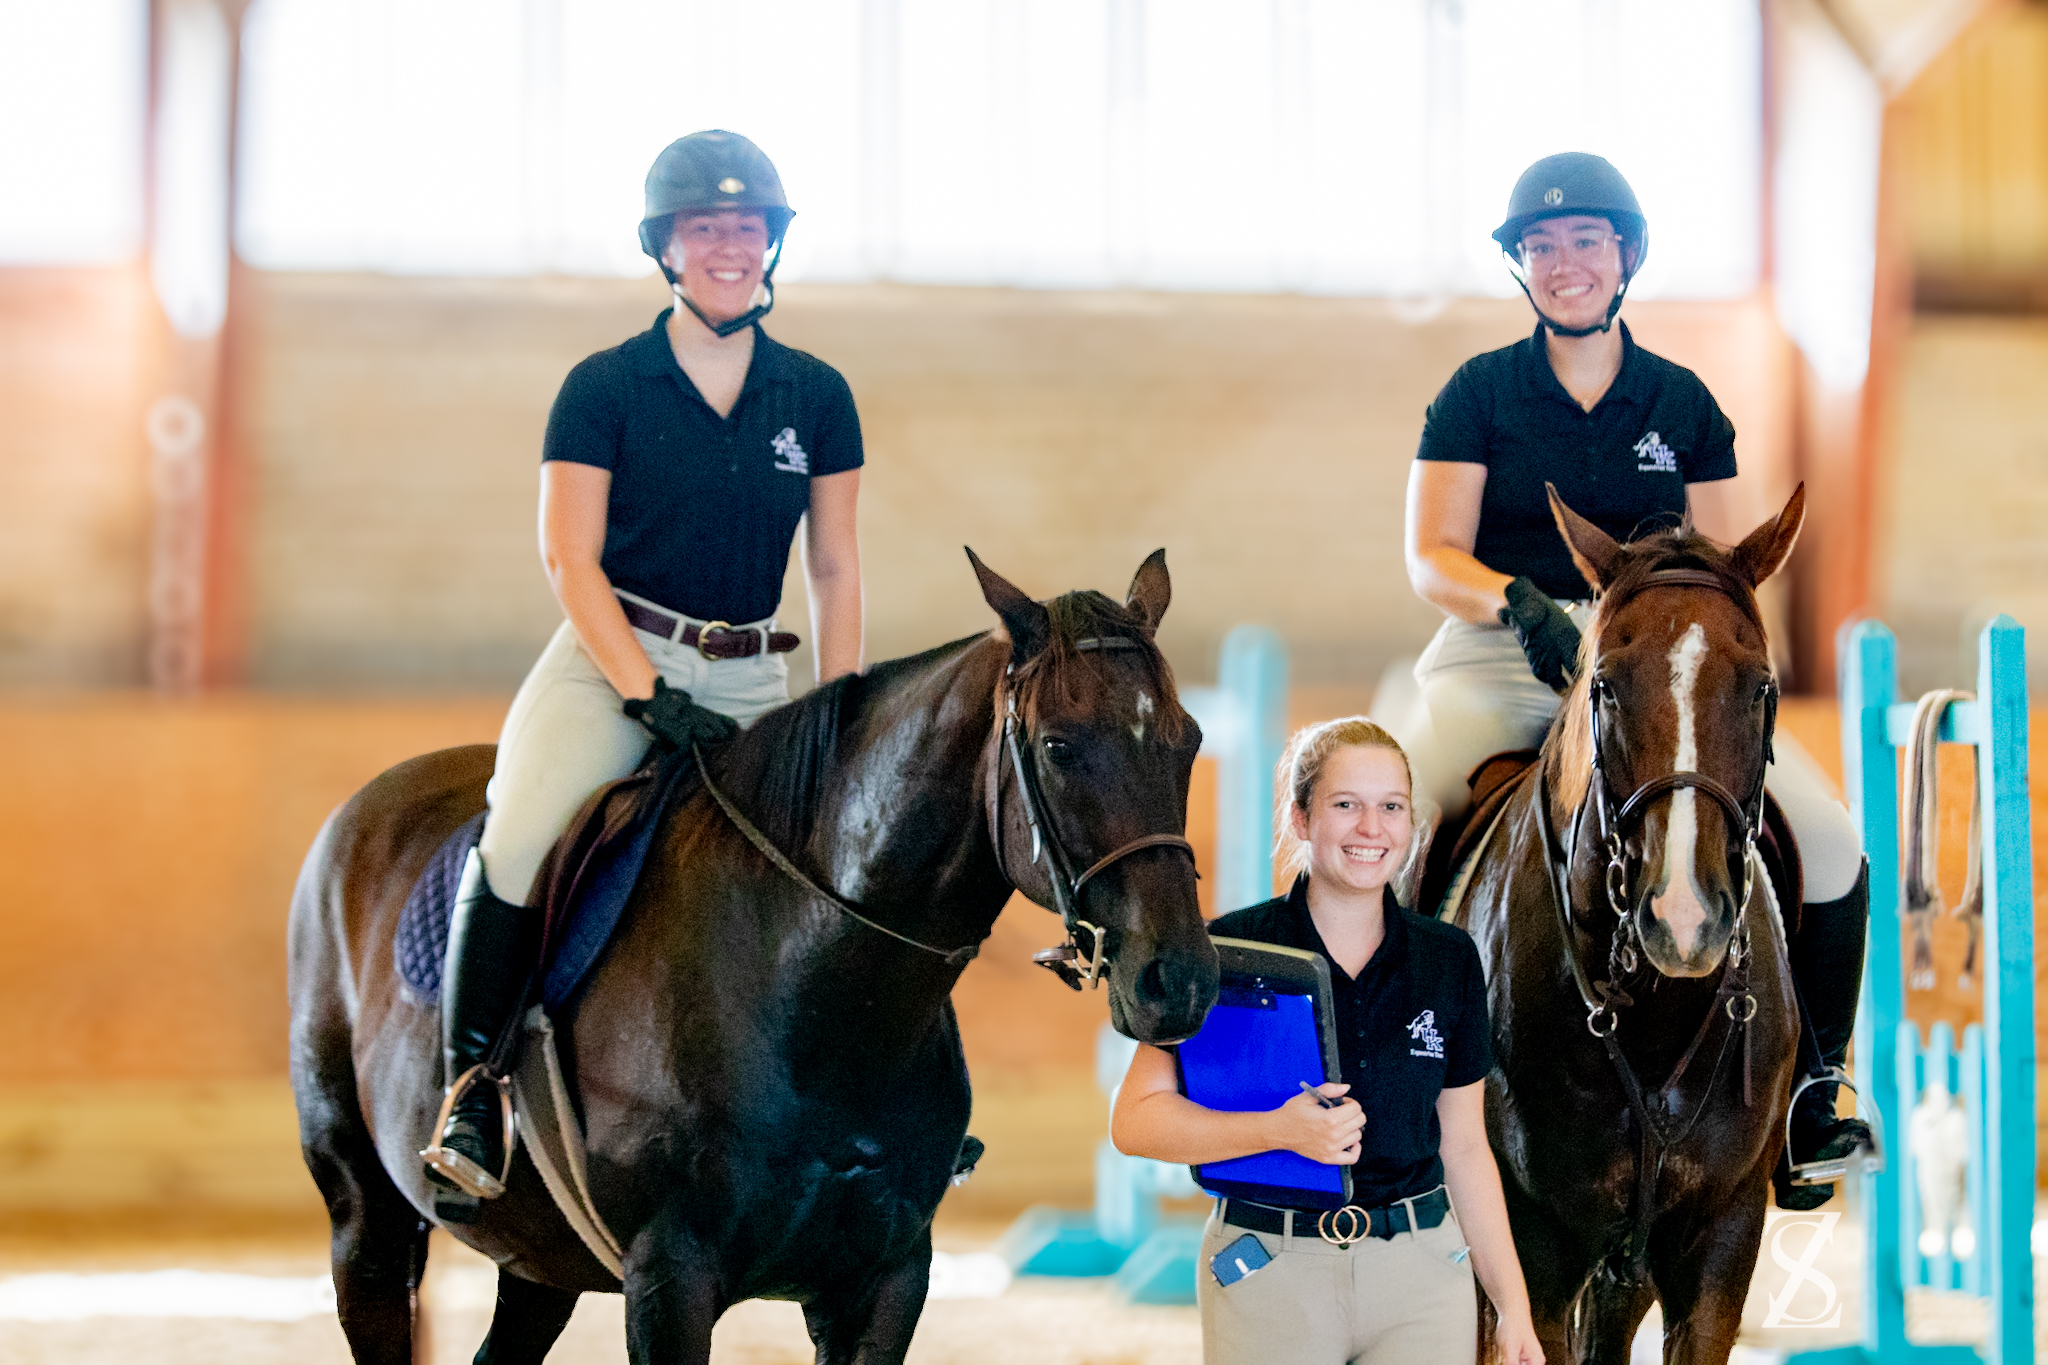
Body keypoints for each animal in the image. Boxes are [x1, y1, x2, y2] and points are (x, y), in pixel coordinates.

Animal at [288, 552, 1212, 1365]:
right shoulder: (670, 1280)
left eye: (1189, 740)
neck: (819, 989)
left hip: (538, 1257)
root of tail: (363, 809)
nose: (1178, 981)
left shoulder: (884, 1282)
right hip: (366, 1223)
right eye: (1058, 745)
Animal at [1458, 485, 1810, 1358]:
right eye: (1606, 684)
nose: (1684, 918)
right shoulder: (1528, 1251)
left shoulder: (1719, 1244)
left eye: (1762, 686)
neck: (1653, 1012)